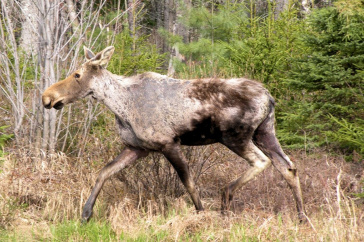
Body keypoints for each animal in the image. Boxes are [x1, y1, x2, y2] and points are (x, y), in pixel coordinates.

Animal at [42, 46, 308, 222]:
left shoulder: (168, 143)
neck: (121, 105)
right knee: (289, 167)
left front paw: (201, 214)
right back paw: (301, 216)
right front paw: (86, 214)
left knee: (262, 162)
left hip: (235, 136)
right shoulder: (138, 148)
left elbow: (188, 182)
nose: (47, 97)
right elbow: (104, 172)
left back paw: (225, 199)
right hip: (265, 132)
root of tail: (270, 97)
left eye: (77, 74)